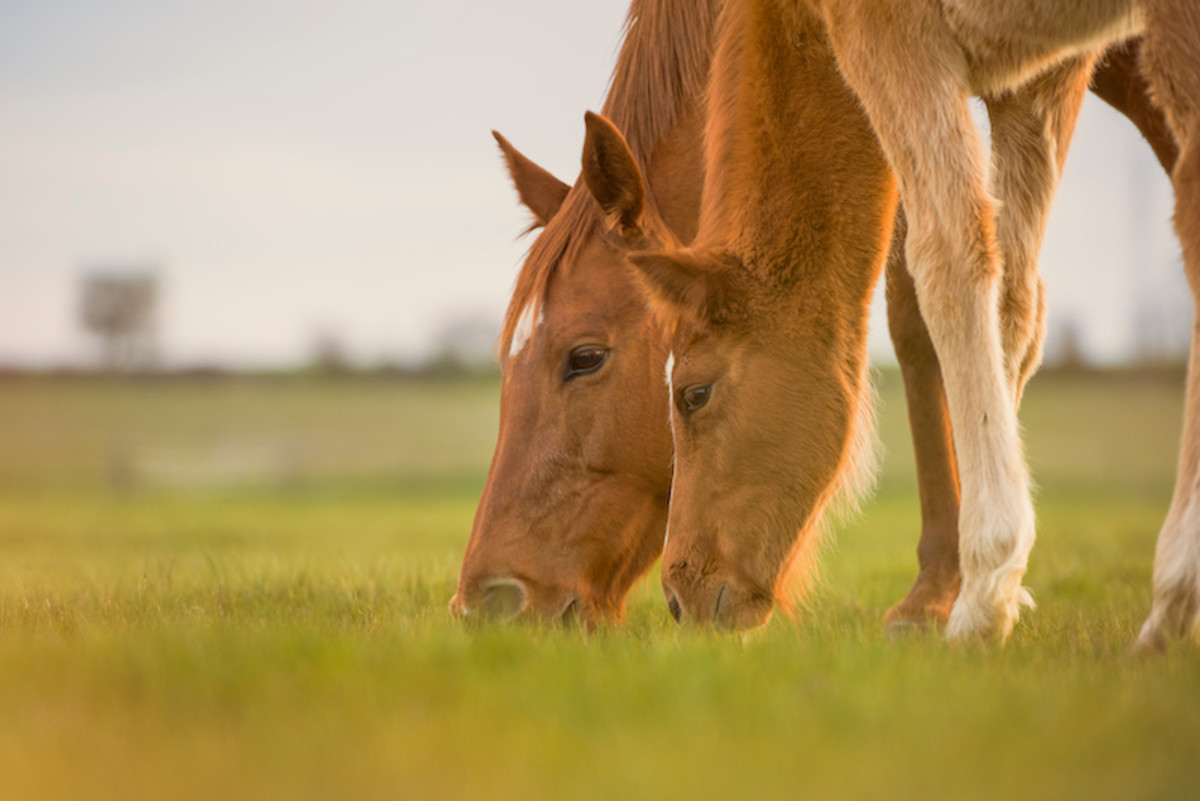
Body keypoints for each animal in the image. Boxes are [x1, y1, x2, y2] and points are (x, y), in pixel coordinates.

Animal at [453, 0, 1176, 633]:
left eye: (584, 357)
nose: (483, 600)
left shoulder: (1033, 70)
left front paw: (964, 590)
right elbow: (921, 311)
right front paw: (942, 590)